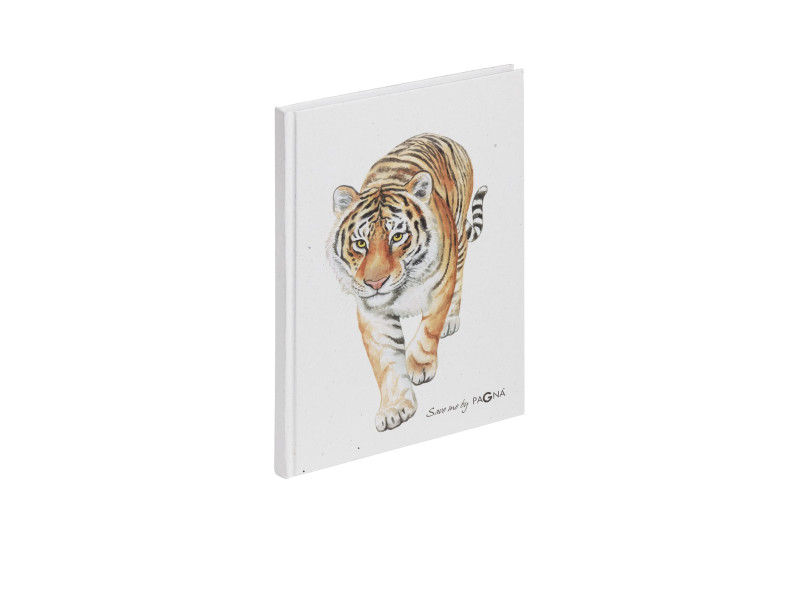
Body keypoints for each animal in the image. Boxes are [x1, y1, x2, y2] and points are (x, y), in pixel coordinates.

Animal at [327, 134, 487, 432]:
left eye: (398, 237)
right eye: (360, 243)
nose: (375, 283)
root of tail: (443, 135)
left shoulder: (440, 287)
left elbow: (428, 331)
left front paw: (418, 367)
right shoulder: (372, 311)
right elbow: (386, 360)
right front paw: (395, 408)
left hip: (459, 240)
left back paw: (451, 321)